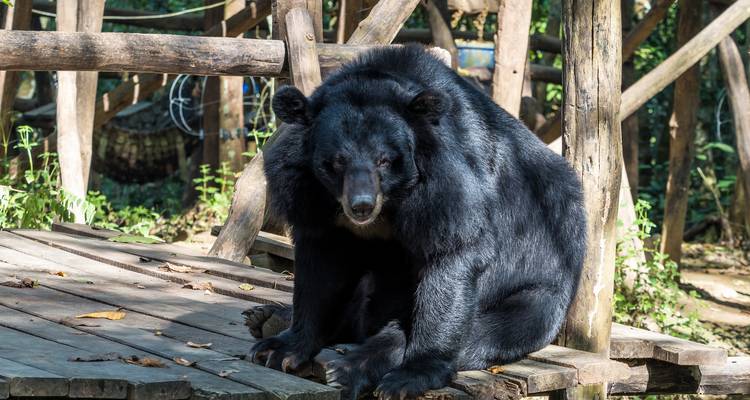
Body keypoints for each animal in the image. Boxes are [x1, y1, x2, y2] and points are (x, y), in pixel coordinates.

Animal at [249, 45, 586, 399]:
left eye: (384, 160)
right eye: (337, 161)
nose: (361, 206)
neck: (387, 208)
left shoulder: (450, 185)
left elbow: (451, 256)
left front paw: (411, 375)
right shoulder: (309, 199)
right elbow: (319, 269)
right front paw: (280, 349)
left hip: (539, 282)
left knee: (491, 329)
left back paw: (353, 366)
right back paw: (266, 317)